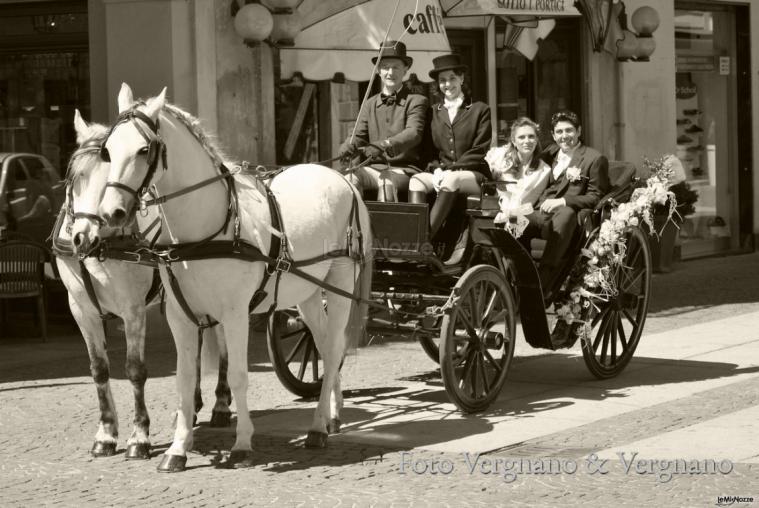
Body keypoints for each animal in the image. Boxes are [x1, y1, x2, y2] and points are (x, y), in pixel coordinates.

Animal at [54, 111, 232, 460]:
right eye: (74, 177)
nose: (83, 237)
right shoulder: (80, 310)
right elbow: (99, 369)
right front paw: (106, 434)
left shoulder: (133, 310)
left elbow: (135, 370)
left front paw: (139, 437)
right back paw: (189, 406)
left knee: (222, 343)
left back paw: (219, 403)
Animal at [98, 84, 374, 472]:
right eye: (107, 150)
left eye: (144, 149)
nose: (112, 213)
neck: (206, 228)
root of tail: (343, 179)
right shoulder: (180, 317)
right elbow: (185, 381)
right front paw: (177, 449)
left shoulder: (235, 314)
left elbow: (240, 375)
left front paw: (242, 444)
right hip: (307, 293)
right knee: (323, 348)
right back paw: (331, 416)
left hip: (340, 284)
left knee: (335, 348)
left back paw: (318, 429)